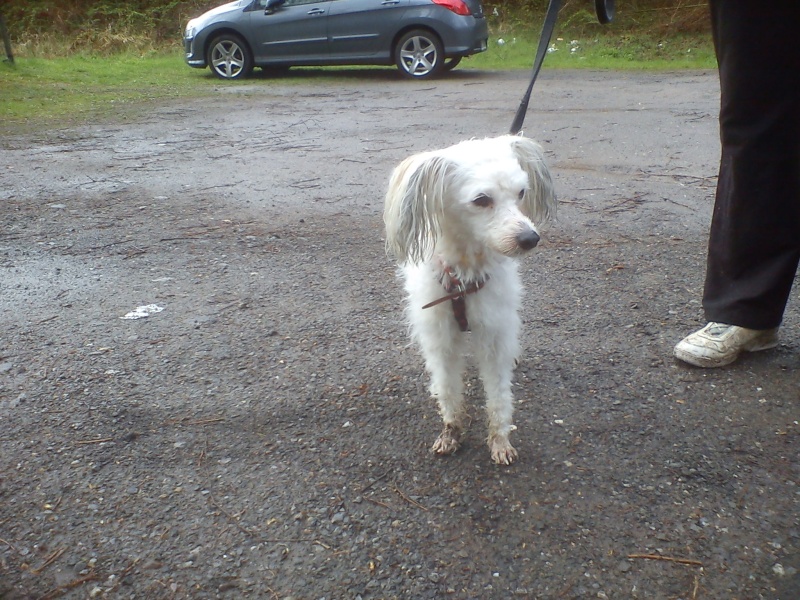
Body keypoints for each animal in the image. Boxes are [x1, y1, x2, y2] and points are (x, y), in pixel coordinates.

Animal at [384, 135, 552, 464]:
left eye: (521, 193)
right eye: (481, 199)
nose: (530, 239)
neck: (463, 277)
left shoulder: (494, 334)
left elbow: (499, 395)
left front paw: (500, 440)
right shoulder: (441, 339)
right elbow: (448, 389)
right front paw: (452, 430)